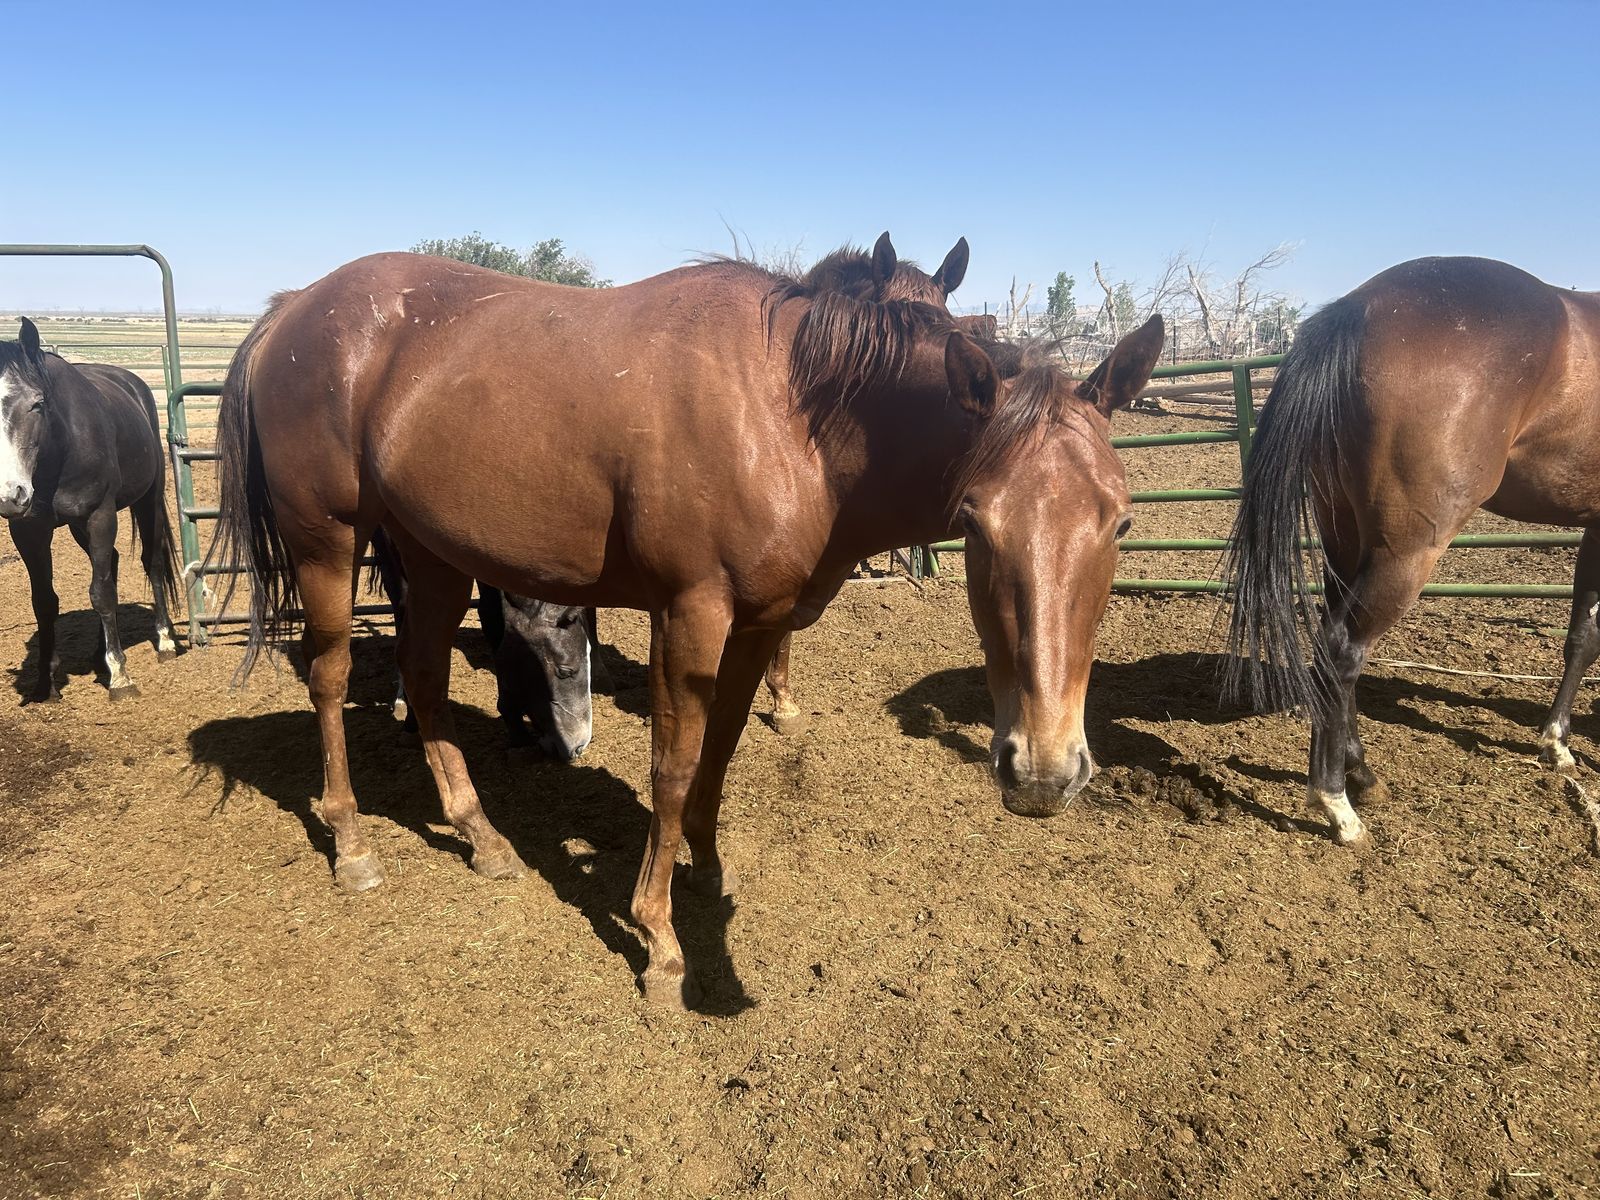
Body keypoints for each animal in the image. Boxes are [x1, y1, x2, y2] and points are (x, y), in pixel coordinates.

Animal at [0, 318, 179, 701]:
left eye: (37, 404)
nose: (11, 495)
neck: (59, 448)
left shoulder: (100, 515)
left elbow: (101, 593)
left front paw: (121, 677)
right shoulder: (29, 530)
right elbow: (44, 601)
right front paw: (45, 683)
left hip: (147, 501)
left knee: (152, 563)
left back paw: (165, 641)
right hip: (77, 526)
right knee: (112, 561)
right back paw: (101, 652)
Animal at [1223, 257, 1600, 846]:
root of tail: (1356, 309)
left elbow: (1582, 635)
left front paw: (1555, 741)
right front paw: (1558, 742)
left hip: (1344, 535)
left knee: (1333, 643)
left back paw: (1362, 774)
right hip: (1408, 551)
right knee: (1343, 649)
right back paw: (1337, 803)